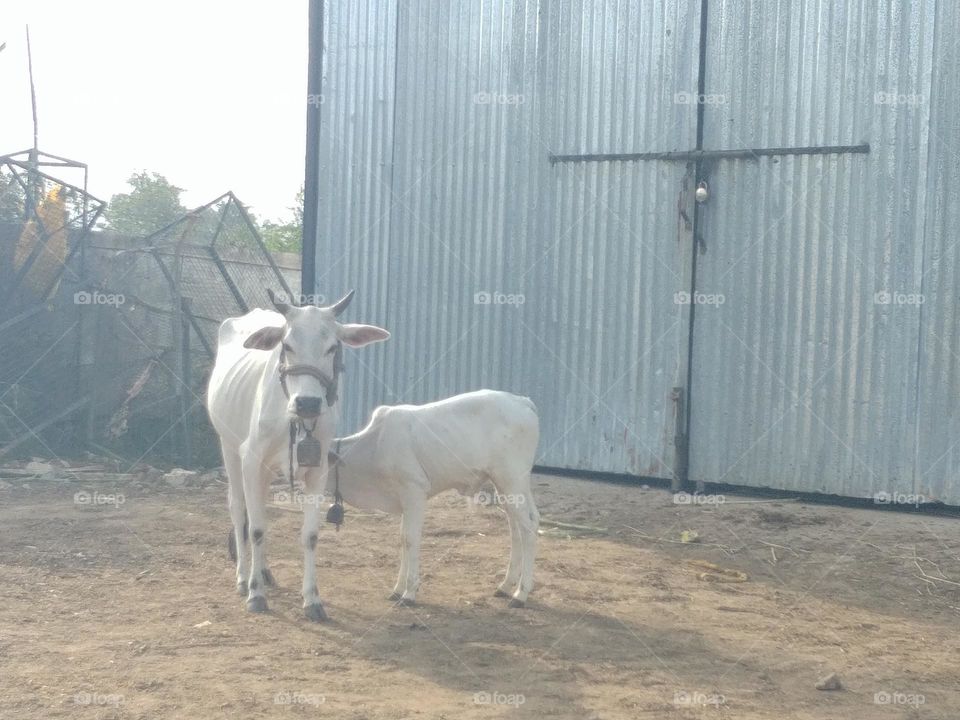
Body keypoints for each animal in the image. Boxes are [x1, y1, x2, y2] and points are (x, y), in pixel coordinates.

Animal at [206, 290, 389, 620]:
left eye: (332, 347)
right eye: (287, 345)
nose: (308, 403)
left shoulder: (318, 469)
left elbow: (310, 534)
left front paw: (312, 599)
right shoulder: (251, 459)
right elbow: (256, 528)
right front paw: (255, 594)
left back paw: (264, 571)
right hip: (228, 447)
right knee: (239, 509)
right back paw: (243, 576)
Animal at [327, 390, 540, 607]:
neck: (374, 446)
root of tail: (521, 401)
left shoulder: (414, 492)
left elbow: (411, 539)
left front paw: (409, 593)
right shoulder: (405, 500)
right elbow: (403, 538)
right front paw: (398, 589)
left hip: (511, 480)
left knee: (528, 528)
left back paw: (520, 594)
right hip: (508, 487)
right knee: (518, 527)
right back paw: (505, 586)